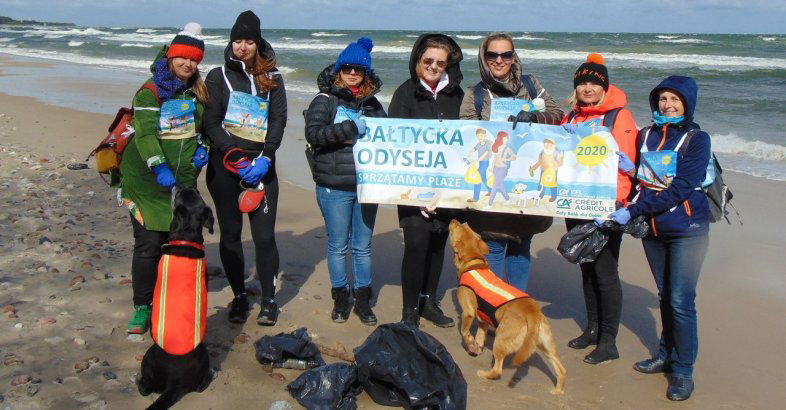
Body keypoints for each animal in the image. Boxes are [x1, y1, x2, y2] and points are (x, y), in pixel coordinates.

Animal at [136, 188, 213, 410]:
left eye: (181, 194)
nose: (178, 185)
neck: (186, 237)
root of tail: (174, 383)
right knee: (147, 388)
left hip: (151, 357)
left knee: (146, 387)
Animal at [448, 218, 564, 394]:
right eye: (464, 226)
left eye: (456, 227)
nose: (455, 219)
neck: (474, 263)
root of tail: (532, 312)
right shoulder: (483, 320)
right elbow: (480, 336)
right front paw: (475, 347)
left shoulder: (468, 312)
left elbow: (465, 332)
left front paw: (469, 343)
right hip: (546, 345)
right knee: (561, 369)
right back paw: (558, 390)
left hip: (501, 340)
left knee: (497, 371)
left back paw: (484, 374)